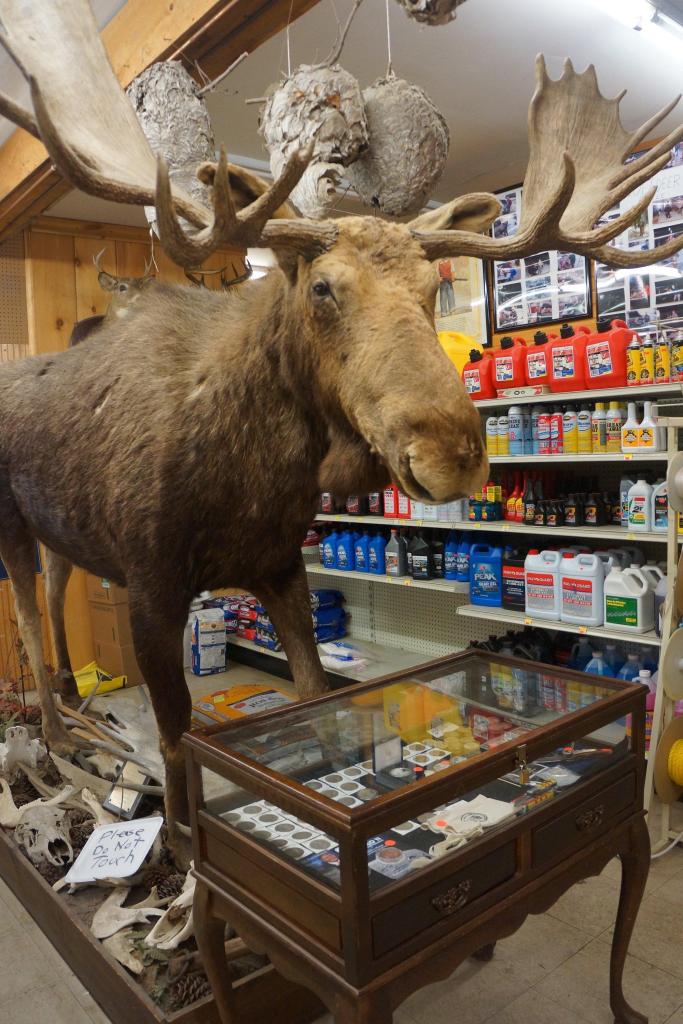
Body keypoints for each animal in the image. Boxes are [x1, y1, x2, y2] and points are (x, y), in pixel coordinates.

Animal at [0, 0, 681, 863]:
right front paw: (185, 851)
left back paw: (71, 701)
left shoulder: (280, 566)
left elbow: (314, 693)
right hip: (13, 523)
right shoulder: (151, 587)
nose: (451, 452)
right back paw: (57, 737)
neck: (249, 475)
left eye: (431, 288)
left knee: (55, 596)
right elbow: (177, 738)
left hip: (63, 530)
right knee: (26, 610)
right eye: (322, 287)